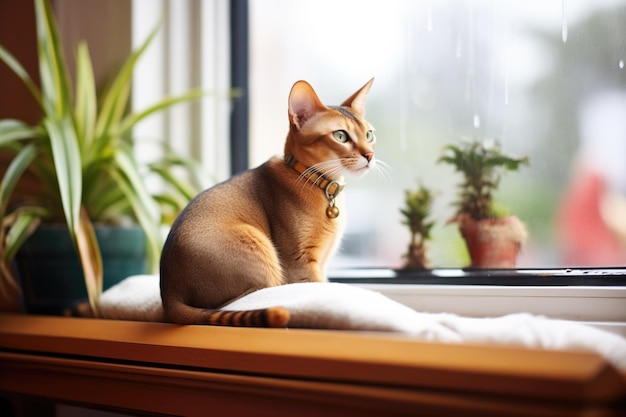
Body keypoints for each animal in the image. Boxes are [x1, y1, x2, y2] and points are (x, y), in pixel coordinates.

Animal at [161, 77, 376, 324]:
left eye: (369, 135)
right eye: (340, 136)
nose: (370, 155)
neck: (319, 184)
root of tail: (168, 291)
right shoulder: (301, 265)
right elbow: (319, 285)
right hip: (256, 245)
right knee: (237, 300)